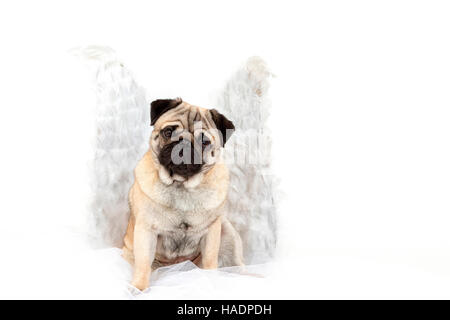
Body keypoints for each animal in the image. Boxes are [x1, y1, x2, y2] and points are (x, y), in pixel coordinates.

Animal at [121, 97, 244, 290]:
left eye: (204, 142)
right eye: (168, 131)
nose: (183, 144)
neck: (181, 186)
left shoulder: (211, 233)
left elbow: (210, 261)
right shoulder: (146, 230)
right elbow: (143, 265)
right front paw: (138, 288)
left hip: (228, 233)